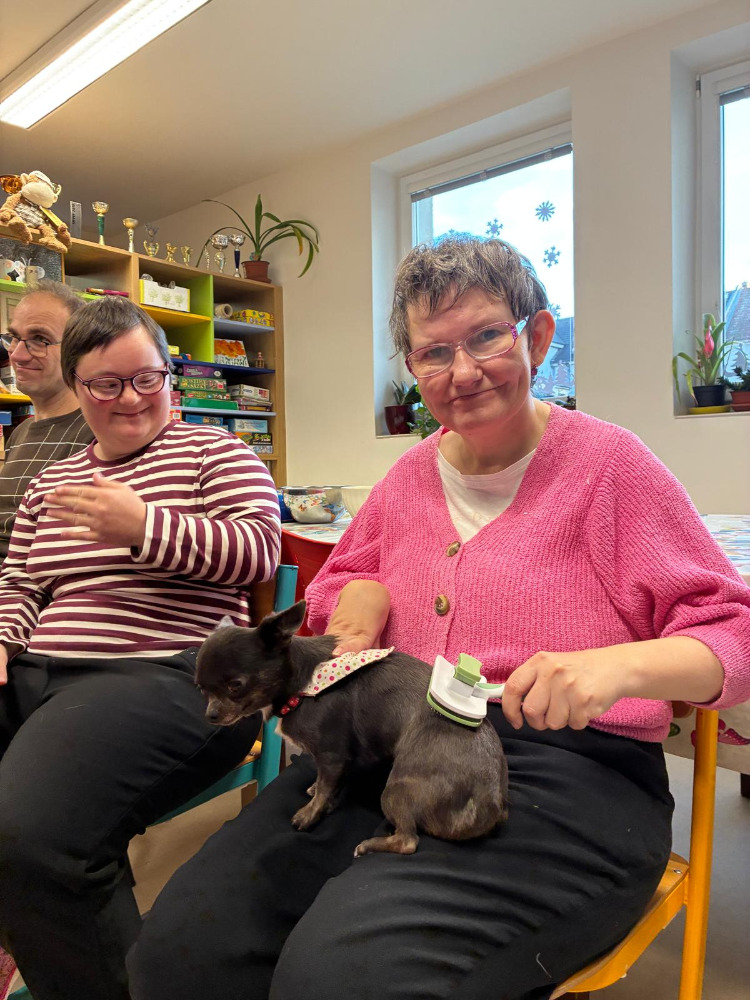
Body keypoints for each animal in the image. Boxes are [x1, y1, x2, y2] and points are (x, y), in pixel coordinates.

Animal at [196, 600, 508, 855]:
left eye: (235, 685)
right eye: (200, 688)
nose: (210, 715)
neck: (304, 683)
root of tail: (491, 805)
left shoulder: (332, 756)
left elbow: (324, 789)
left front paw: (309, 815)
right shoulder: (341, 760)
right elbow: (327, 785)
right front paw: (319, 794)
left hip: (397, 789)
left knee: (408, 841)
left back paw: (369, 845)